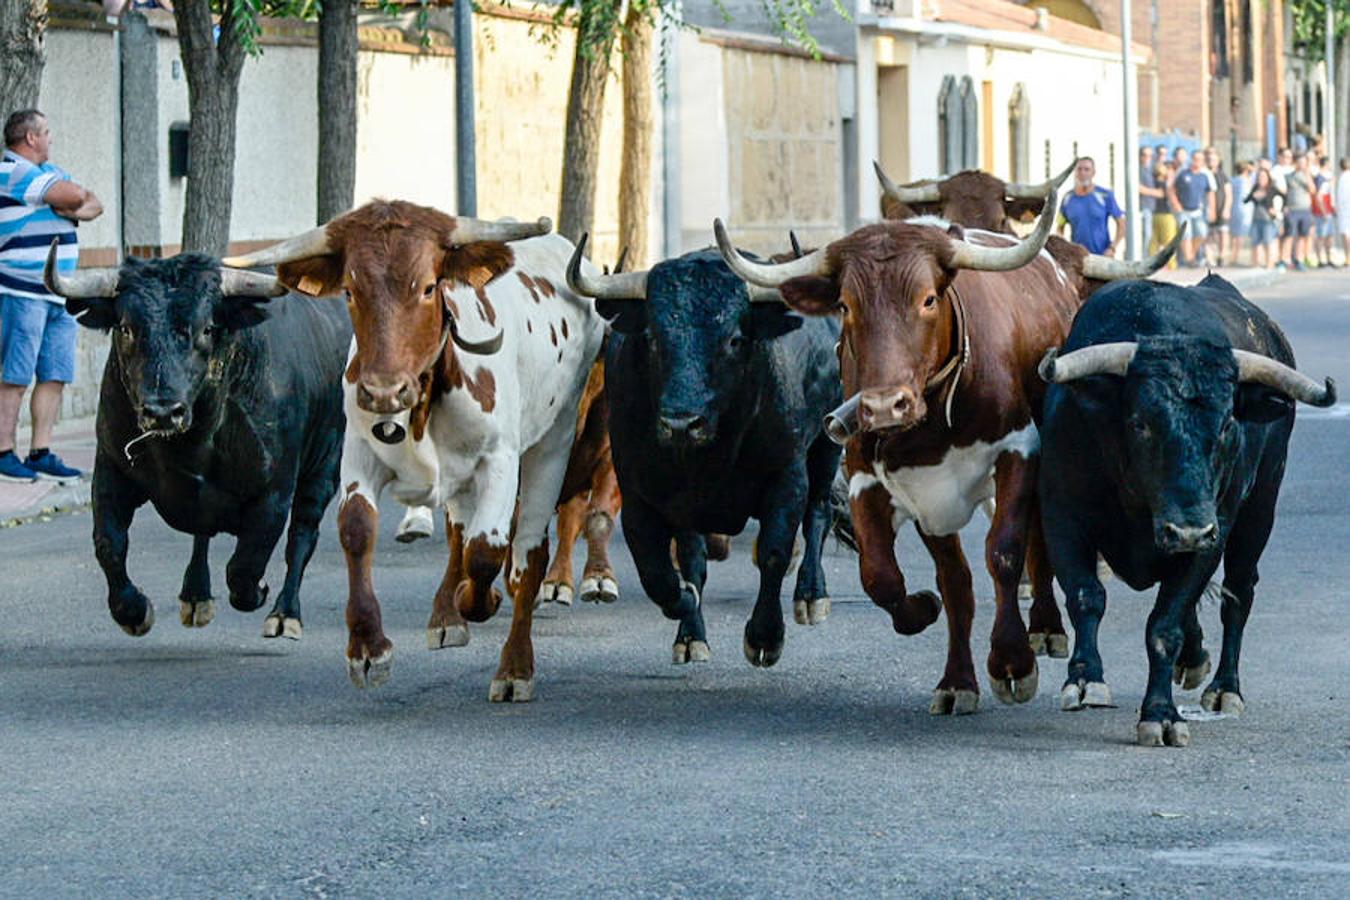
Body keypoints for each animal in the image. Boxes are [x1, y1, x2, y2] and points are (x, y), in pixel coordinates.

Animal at [48, 249, 348, 636]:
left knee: (302, 535)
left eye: (207, 328)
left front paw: (261, 591)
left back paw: (285, 614)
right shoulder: (110, 470)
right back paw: (195, 596)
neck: (191, 445)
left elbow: (245, 567)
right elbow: (109, 545)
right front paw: (134, 612)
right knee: (202, 534)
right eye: (126, 328)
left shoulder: (275, 495)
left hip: (326, 463)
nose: (163, 411)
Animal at [224, 201, 604, 701]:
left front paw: (482, 602)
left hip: (554, 441)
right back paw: (446, 615)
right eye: (350, 290)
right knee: (459, 531)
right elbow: (357, 529)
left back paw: (514, 665)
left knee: (526, 551)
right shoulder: (358, 452)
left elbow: (486, 550)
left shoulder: (499, 461)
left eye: (427, 287)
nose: (384, 390)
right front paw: (368, 649)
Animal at [718, 186, 1171, 712]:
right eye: (846, 306)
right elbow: (901, 577)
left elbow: (1004, 552)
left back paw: (1046, 628)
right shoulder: (883, 481)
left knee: (1038, 540)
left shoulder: (1019, 452)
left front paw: (1012, 661)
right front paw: (947, 659)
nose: (883, 406)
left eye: (928, 299)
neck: (931, 419)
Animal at [1036, 272, 1333, 744]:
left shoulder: (1214, 533)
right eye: (1140, 422)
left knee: (1239, 593)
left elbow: (1164, 625)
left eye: (1228, 423)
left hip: (1259, 511)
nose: (1188, 530)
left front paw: (1160, 714)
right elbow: (1086, 596)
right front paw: (1084, 680)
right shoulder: (1062, 514)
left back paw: (1225, 688)